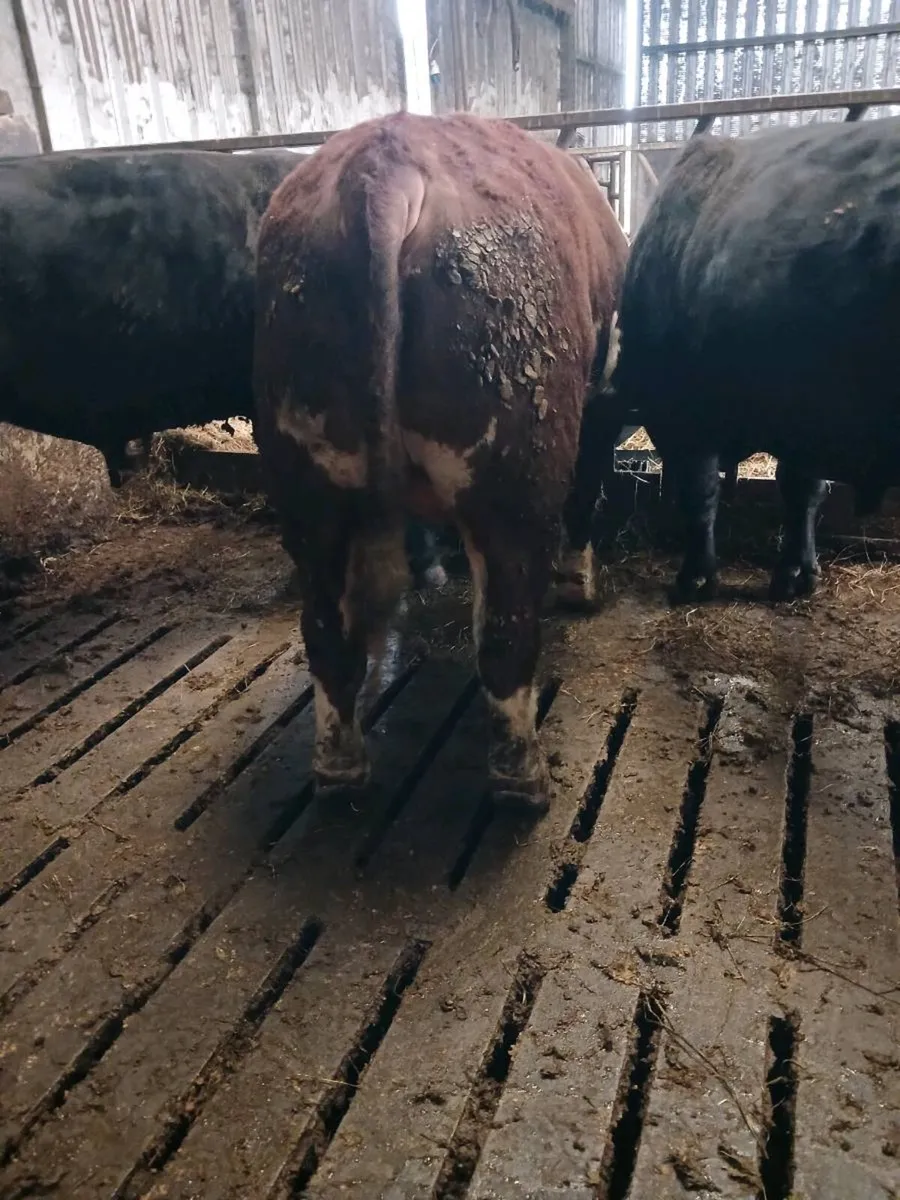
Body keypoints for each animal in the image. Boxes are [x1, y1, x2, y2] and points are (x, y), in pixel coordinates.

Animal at [254, 111, 628, 813]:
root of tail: (387, 165)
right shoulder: (606, 401)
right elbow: (590, 489)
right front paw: (581, 581)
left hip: (308, 479)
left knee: (327, 629)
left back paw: (339, 768)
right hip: (513, 472)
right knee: (506, 631)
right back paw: (522, 779)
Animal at [613, 116, 900, 602]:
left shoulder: (680, 413)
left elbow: (700, 492)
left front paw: (695, 577)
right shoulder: (803, 414)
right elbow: (801, 490)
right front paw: (797, 573)